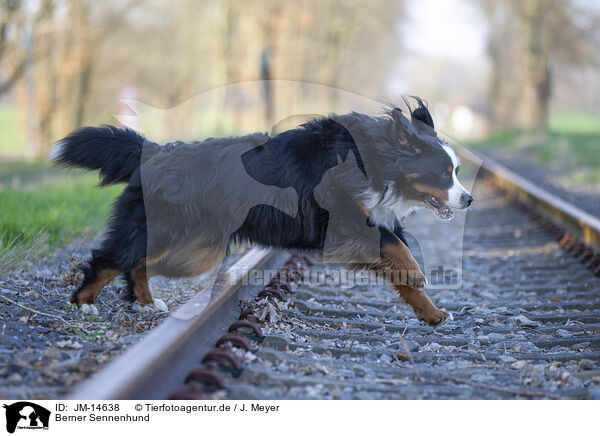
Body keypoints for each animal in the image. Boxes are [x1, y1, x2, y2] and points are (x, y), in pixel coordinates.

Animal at [51, 96, 474, 328]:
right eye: (444, 173)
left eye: (455, 170)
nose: (469, 199)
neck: (374, 160)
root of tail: (153, 151)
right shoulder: (342, 222)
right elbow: (395, 249)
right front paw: (418, 276)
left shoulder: (375, 222)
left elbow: (399, 264)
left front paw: (434, 314)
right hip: (169, 229)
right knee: (110, 257)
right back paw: (84, 304)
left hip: (188, 240)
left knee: (136, 261)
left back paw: (145, 301)